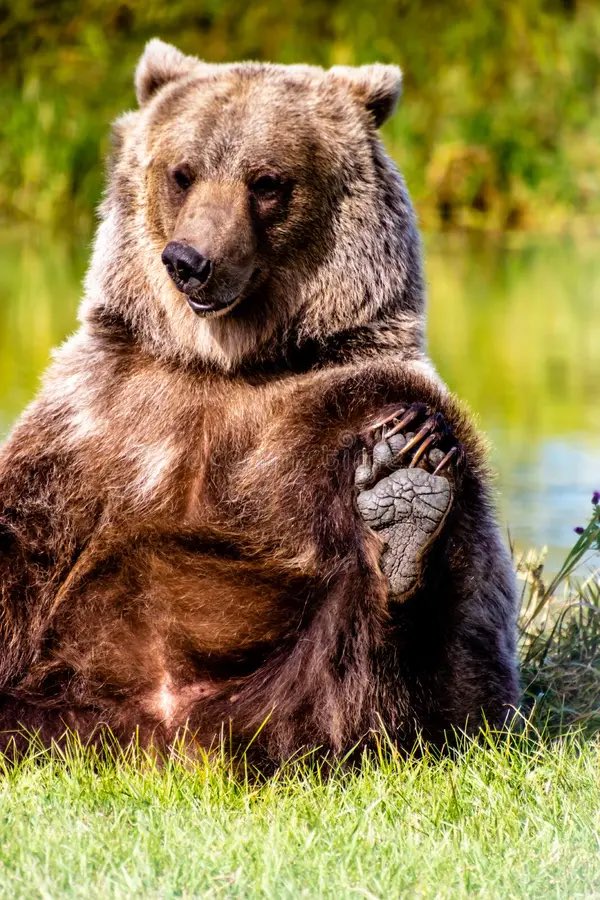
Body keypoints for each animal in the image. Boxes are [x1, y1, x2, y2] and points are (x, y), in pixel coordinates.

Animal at [0, 39, 519, 763]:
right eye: (182, 173)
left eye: (267, 182)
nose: (190, 260)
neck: (226, 362)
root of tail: (162, 736)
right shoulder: (96, 420)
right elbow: (23, 533)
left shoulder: (335, 397)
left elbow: (476, 664)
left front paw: (399, 473)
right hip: (54, 701)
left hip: (291, 708)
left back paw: (406, 500)